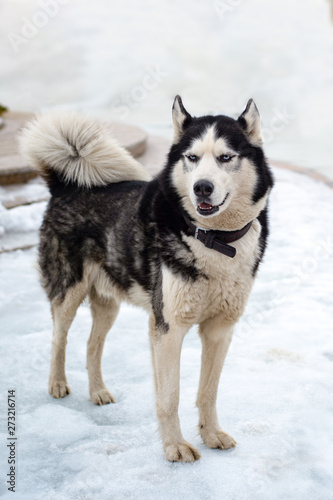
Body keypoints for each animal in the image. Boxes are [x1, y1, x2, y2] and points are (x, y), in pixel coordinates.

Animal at [20, 95, 272, 462]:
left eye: (226, 157)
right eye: (192, 158)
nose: (202, 187)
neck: (215, 242)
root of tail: (65, 186)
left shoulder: (219, 330)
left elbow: (208, 392)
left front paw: (210, 434)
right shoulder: (168, 327)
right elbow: (170, 396)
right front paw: (175, 447)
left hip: (108, 302)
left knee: (92, 345)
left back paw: (98, 391)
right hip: (68, 292)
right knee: (58, 339)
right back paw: (56, 383)